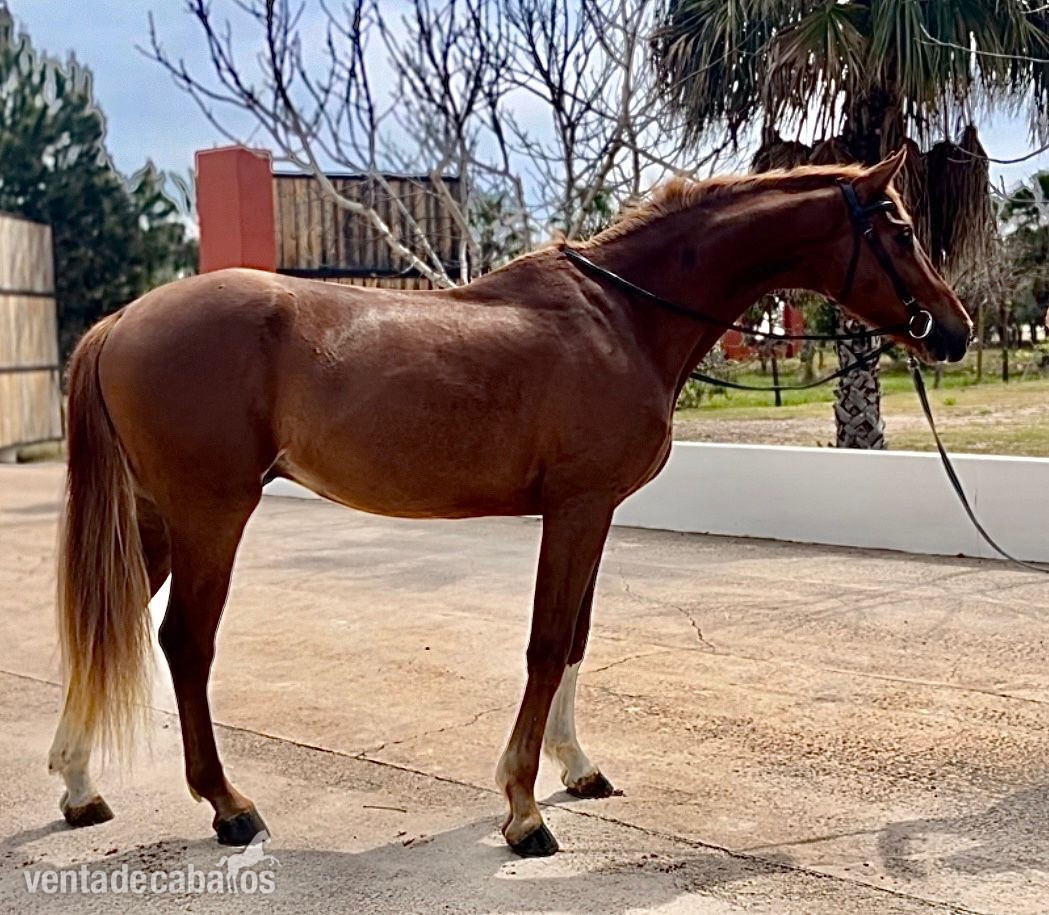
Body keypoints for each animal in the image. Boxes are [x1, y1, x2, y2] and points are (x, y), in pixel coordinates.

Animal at [48, 151, 971, 857]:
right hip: (209, 514)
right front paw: (523, 809)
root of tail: (121, 320)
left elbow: (575, 641)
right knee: (183, 642)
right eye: (898, 229)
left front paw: (575, 768)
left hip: (156, 518)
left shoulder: (594, 512)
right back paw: (228, 805)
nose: (956, 329)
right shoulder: (577, 508)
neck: (620, 314)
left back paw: (79, 785)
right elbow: (545, 644)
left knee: (104, 625)